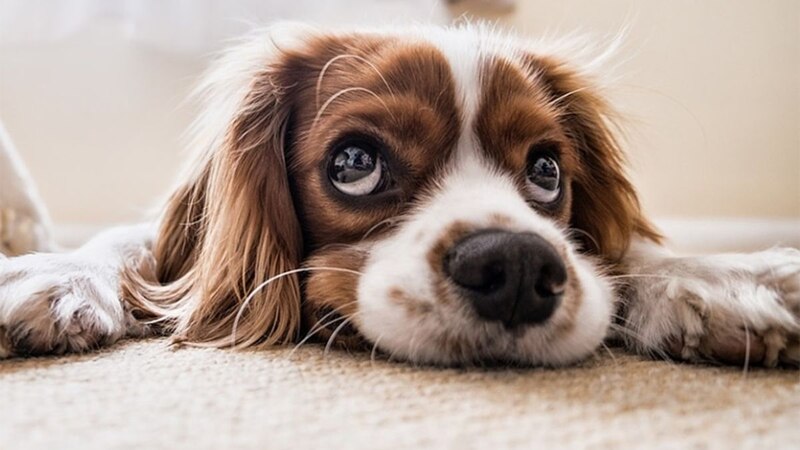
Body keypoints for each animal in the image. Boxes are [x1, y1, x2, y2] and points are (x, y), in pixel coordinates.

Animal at [1, 22, 800, 368]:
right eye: (354, 163)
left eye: (547, 171)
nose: (516, 267)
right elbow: (132, 244)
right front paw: (56, 275)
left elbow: (627, 250)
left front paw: (722, 280)